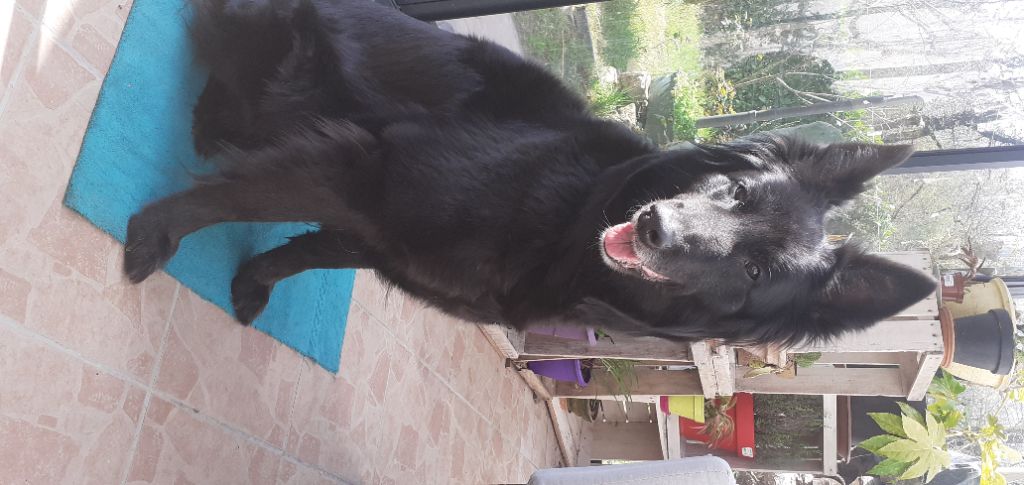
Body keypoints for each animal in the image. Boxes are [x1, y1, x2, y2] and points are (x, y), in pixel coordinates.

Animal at [122, 0, 936, 346]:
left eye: (758, 272)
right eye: (735, 191)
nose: (655, 227)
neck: (575, 218)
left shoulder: (373, 230)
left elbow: (301, 250)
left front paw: (253, 282)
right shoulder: (370, 173)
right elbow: (240, 196)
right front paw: (156, 233)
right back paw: (213, 119)